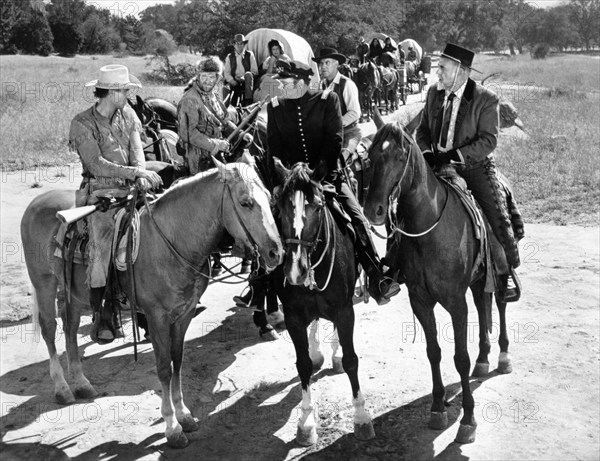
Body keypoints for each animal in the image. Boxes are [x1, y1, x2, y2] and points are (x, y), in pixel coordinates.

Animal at [22, 157, 284, 446]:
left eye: (270, 198)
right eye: (245, 202)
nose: (276, 252)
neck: (171, 240)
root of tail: (38, 201)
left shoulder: (184, 314)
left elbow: (177, 361)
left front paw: (184, 415)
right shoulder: (157, 316)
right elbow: (163, 368)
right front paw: (172, 426)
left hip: (74, 293)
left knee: (69, 329)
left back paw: (81, 383)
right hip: (44, 283)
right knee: (49, 330)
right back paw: (62, 387)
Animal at [360, 120, 510, 444]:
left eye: (400, 156)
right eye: (371, 156)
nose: (373, 210)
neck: (429, 229)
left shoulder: (455, 302)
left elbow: (460, 357)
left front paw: (468, 419)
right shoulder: (420, 301)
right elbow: (434, 353)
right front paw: (438, 407)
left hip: (500, 267)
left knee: (500, 304)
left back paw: (503, 356)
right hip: (479, 278)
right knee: (484, 303)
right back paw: (484, 357)